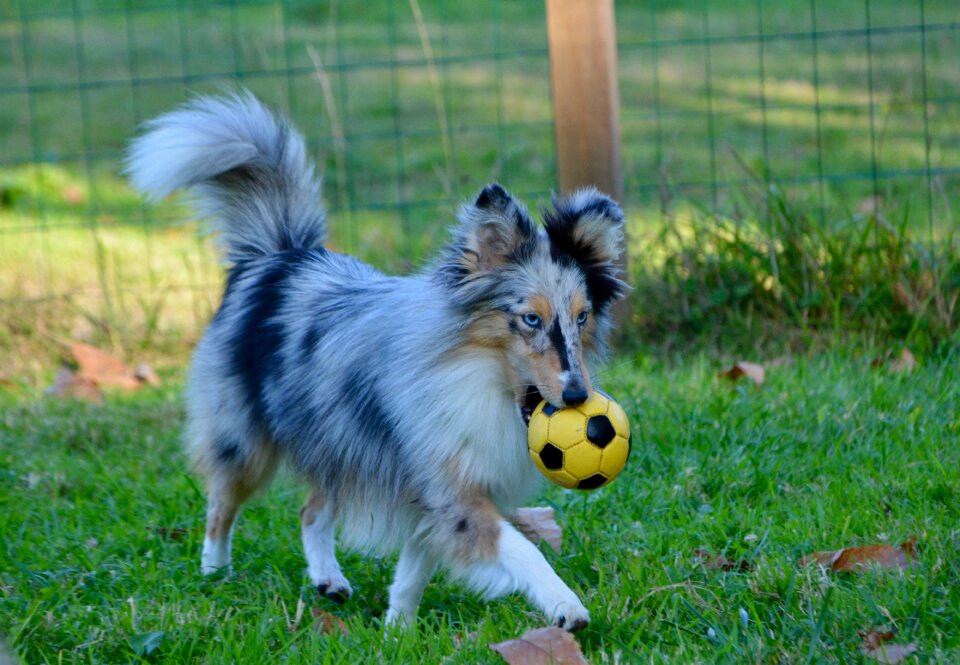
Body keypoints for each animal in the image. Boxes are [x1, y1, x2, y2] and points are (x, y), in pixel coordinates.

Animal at [124, 92, 628, 628]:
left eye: (582, 317)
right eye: (530, 319)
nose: (577, 396)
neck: (475, 376)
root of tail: (279, 255)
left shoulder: (428, 487)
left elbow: (413, 569)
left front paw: (396, 629)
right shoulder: (451, 491)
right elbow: (519, 549)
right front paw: (564, 604)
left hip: (338, 441)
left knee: (310, 510)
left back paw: (328, 580)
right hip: (244, 439)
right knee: (221, 504)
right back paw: (215, 572)